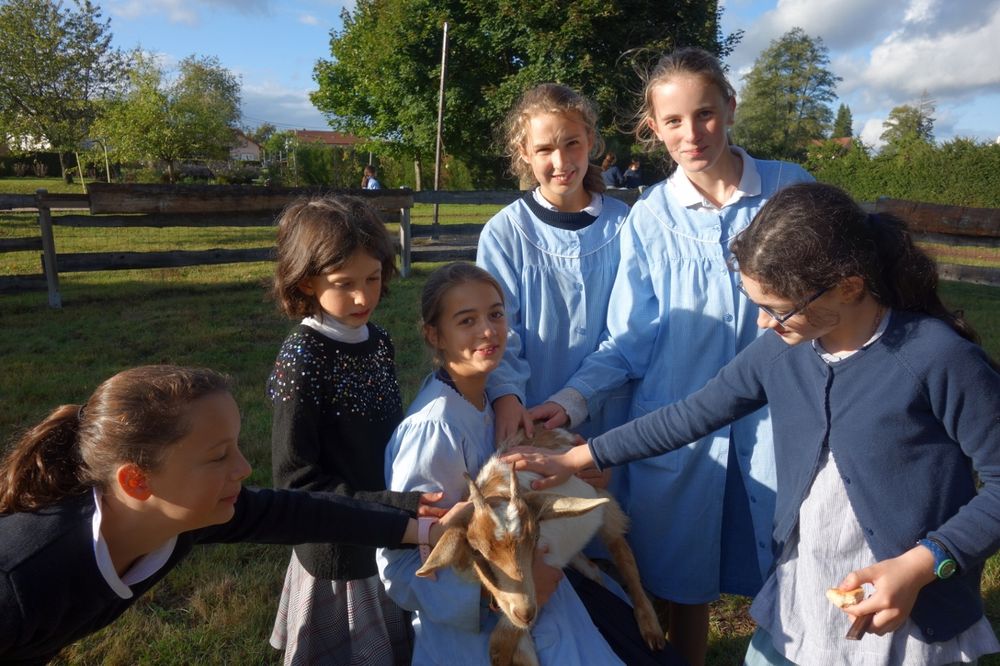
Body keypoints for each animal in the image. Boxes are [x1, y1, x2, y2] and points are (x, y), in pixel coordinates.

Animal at [414, 426, 664, 664]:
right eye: (476, 550)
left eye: (534, 537)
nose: (525, 611)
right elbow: (515, 650)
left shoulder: (540, 579)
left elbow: (499, 645)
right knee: (593, 568)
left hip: (608, 508)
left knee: (623, 555)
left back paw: (651, 629)